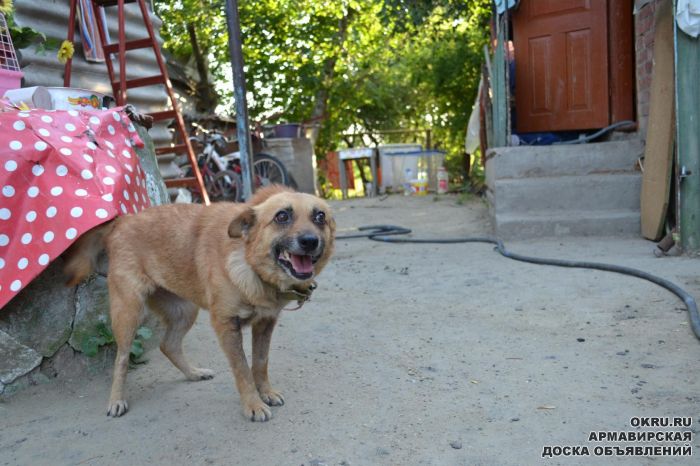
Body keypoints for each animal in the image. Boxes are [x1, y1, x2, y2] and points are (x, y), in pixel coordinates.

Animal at [65, 186, 336, 422]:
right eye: (282, 216)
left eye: (320, 217)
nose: (310, 241)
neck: (248, 263)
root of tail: (122, 220)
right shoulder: (226, 325)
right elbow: (242, 369)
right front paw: (253, 405)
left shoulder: (265, 323)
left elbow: (260, 363)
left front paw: (266, 392)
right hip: (129, 312)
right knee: (121, 358)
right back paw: (116, 400)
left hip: (185, 310)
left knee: (168, 345)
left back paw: (193, 373)